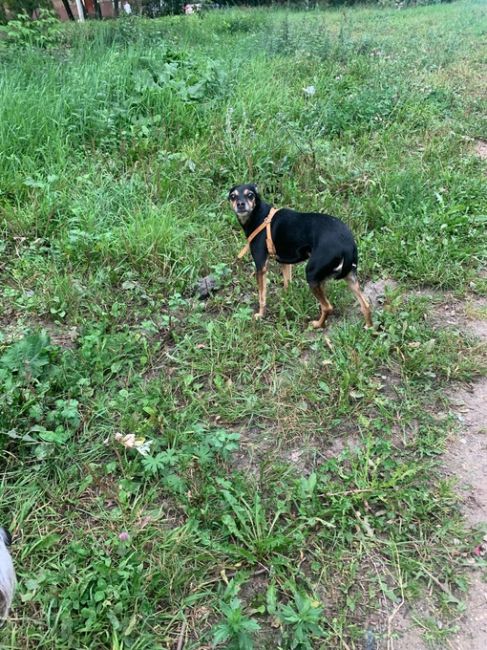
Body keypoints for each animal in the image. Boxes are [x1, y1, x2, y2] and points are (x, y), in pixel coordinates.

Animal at [231, 182, 372, 326]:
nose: (240, 204)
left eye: (250, 195)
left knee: (327, 307)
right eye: (233, 196)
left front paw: (260, 315)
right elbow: (287, 284)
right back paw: (368, 327)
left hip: (312, 274)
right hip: (348, 277)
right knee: (365, 305)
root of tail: (348, 244)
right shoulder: (285, 263)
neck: (259, 216)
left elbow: (262, 296)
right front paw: (286, 300)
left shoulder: (261, 266)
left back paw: (317, 325)